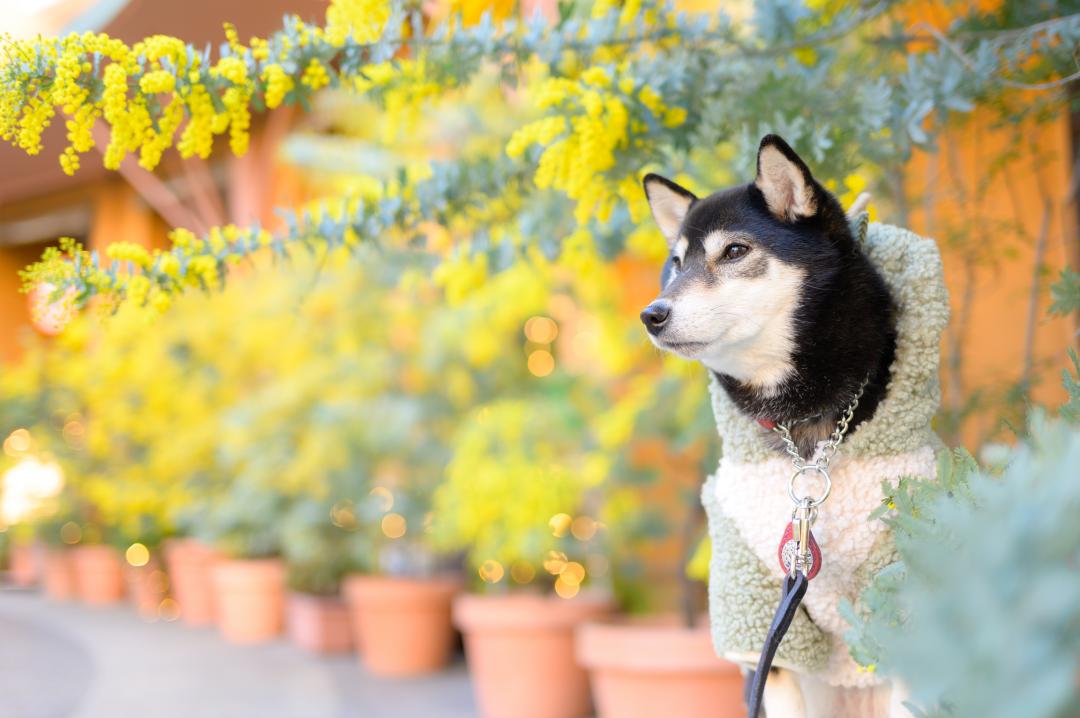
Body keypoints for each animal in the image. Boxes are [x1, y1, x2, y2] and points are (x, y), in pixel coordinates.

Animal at [635, 132, 941, 712]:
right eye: (676, 263)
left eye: (734, 251)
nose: (652, 314)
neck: (803, 420)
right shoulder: (758, 610)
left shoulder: (899, 589)